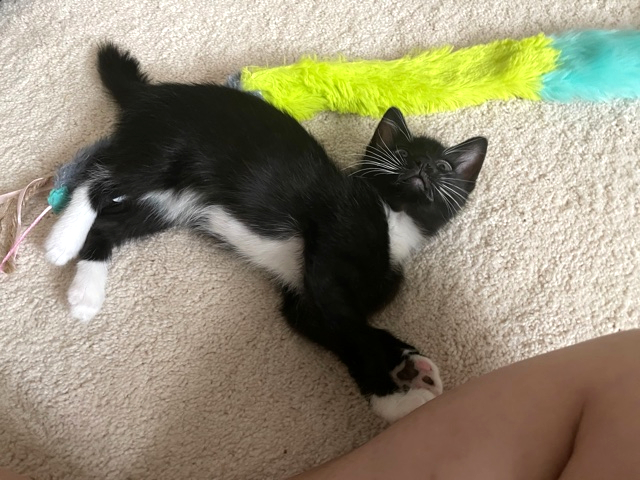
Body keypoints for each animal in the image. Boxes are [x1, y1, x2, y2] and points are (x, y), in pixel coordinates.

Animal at [44, 43, 487, 423]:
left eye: (444, 168)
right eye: (400, 154)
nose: (421, 168)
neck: (393, 217)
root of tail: (154, 93)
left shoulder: (305, 302)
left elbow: (347, 329)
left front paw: (409, 365)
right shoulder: (329, 258)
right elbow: (355, 337)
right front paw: (396, 401)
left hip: (169, 203)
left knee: (109, 223)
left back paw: (85, 293)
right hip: (165, 153)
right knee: (98, 178)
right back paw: (61, 240)